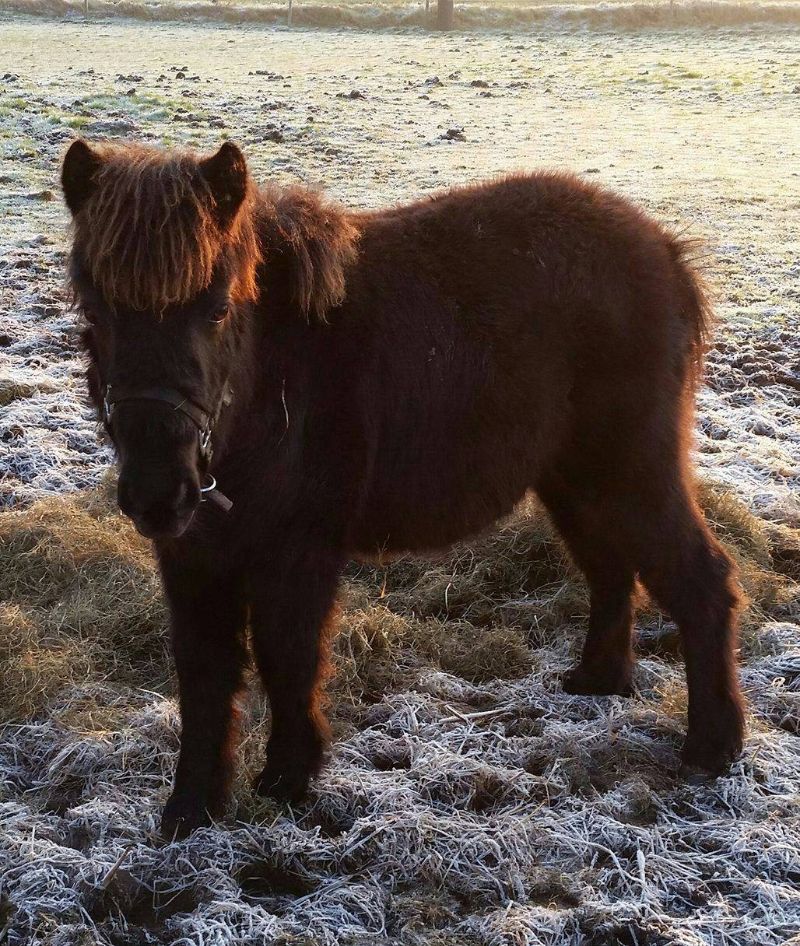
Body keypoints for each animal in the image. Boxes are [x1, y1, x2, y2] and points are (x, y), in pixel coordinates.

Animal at [61, 138, 744, 832]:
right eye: (94, 310)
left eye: (218, 309)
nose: (159, 493)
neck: (270, 383)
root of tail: (665, 252)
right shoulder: (194, 558)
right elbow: (204, 676)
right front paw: (191, 809)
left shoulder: (297, 553)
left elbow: (288, 659)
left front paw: (288, 781)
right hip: (577, 482)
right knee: (611, 570)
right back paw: (600, 681)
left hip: (632, 473)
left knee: (699, 579)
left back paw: (712, 747)